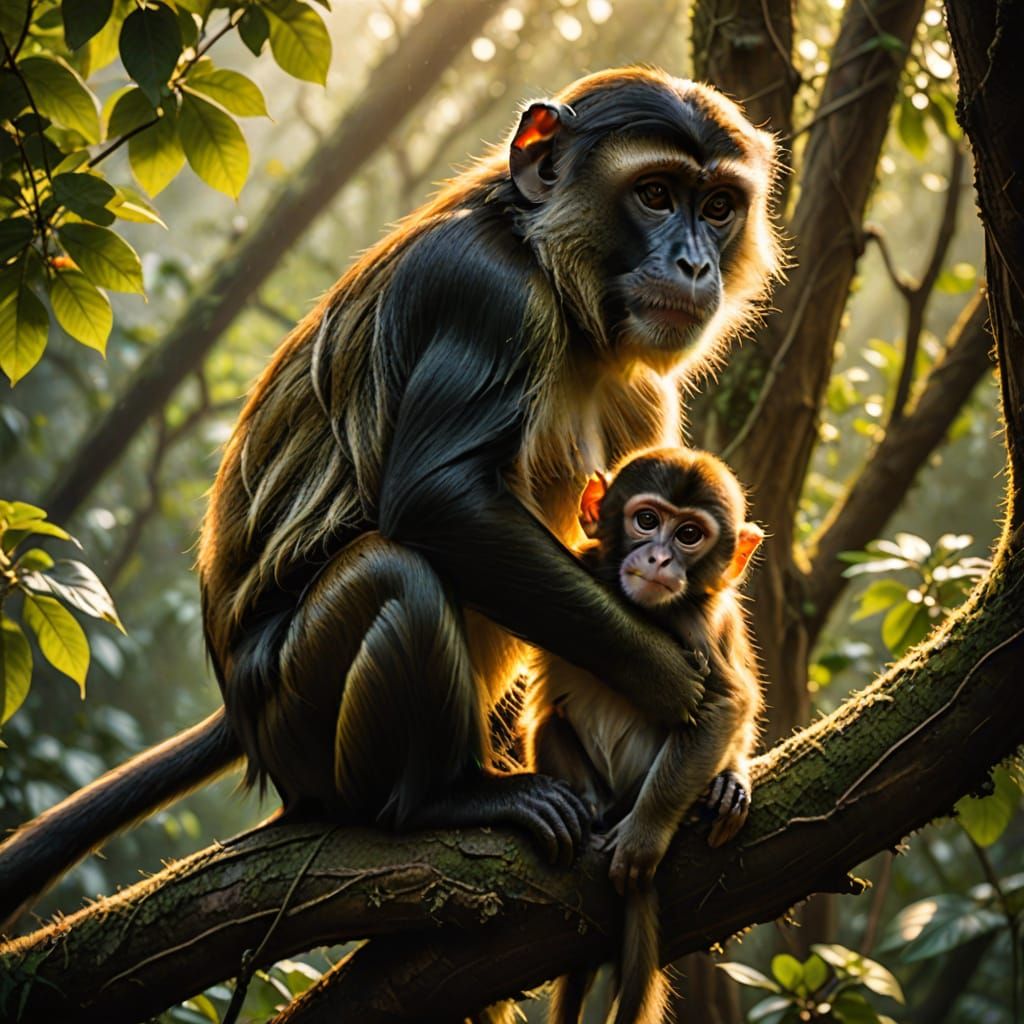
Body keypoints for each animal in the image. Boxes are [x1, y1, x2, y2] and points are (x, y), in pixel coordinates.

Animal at [0, 68, 780, 931]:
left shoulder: (642, 388)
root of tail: (241, 712)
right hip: (296, 721)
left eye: (718, 207)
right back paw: (439, 800)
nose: (694, 264)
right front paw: (677, 684)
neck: (549, 270)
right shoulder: (486, 293)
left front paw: (720, 756)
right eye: (654, 194)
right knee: (394, 573)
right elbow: (438, 501)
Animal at [524, 446, 764, 1024]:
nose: (658, 559)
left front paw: (645, 836)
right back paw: (586, 806)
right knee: (549, 720)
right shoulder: (584, 562)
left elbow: (726, 704)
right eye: (647, 520)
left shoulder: (701, 622)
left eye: (690, 535)